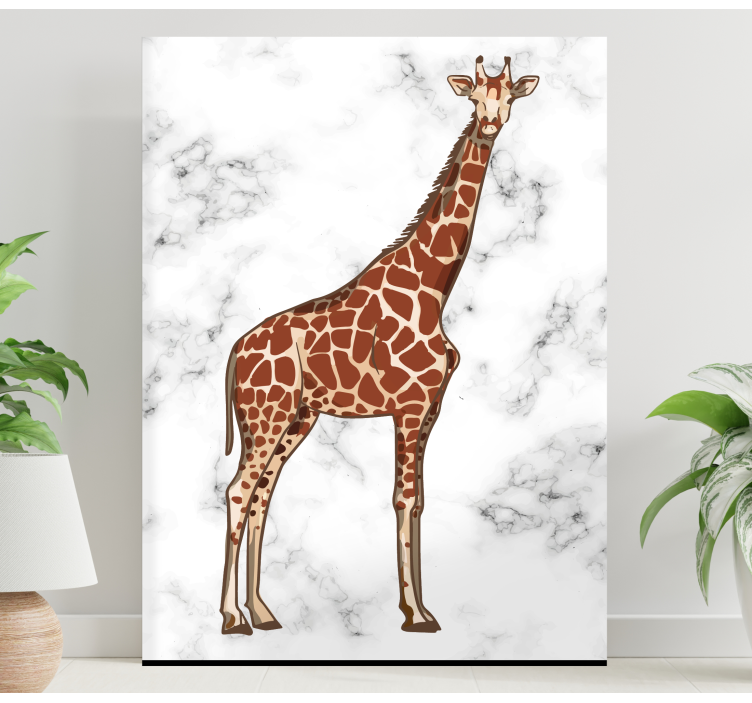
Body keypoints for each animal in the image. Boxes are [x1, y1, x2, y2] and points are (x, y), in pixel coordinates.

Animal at [220, 56, 539, 635]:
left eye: (509, 96)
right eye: (473, 96)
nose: (489, 124)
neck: (435, 290)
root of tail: (235, 349)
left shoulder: (431, 408)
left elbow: (418, 501)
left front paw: (421, 607)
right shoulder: (408, 407)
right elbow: (402, 498)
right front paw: (416, 614)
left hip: (297, 417)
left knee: (262, 495)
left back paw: (262, 612)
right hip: (266, 413)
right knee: (238, 490)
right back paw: (232, 617)